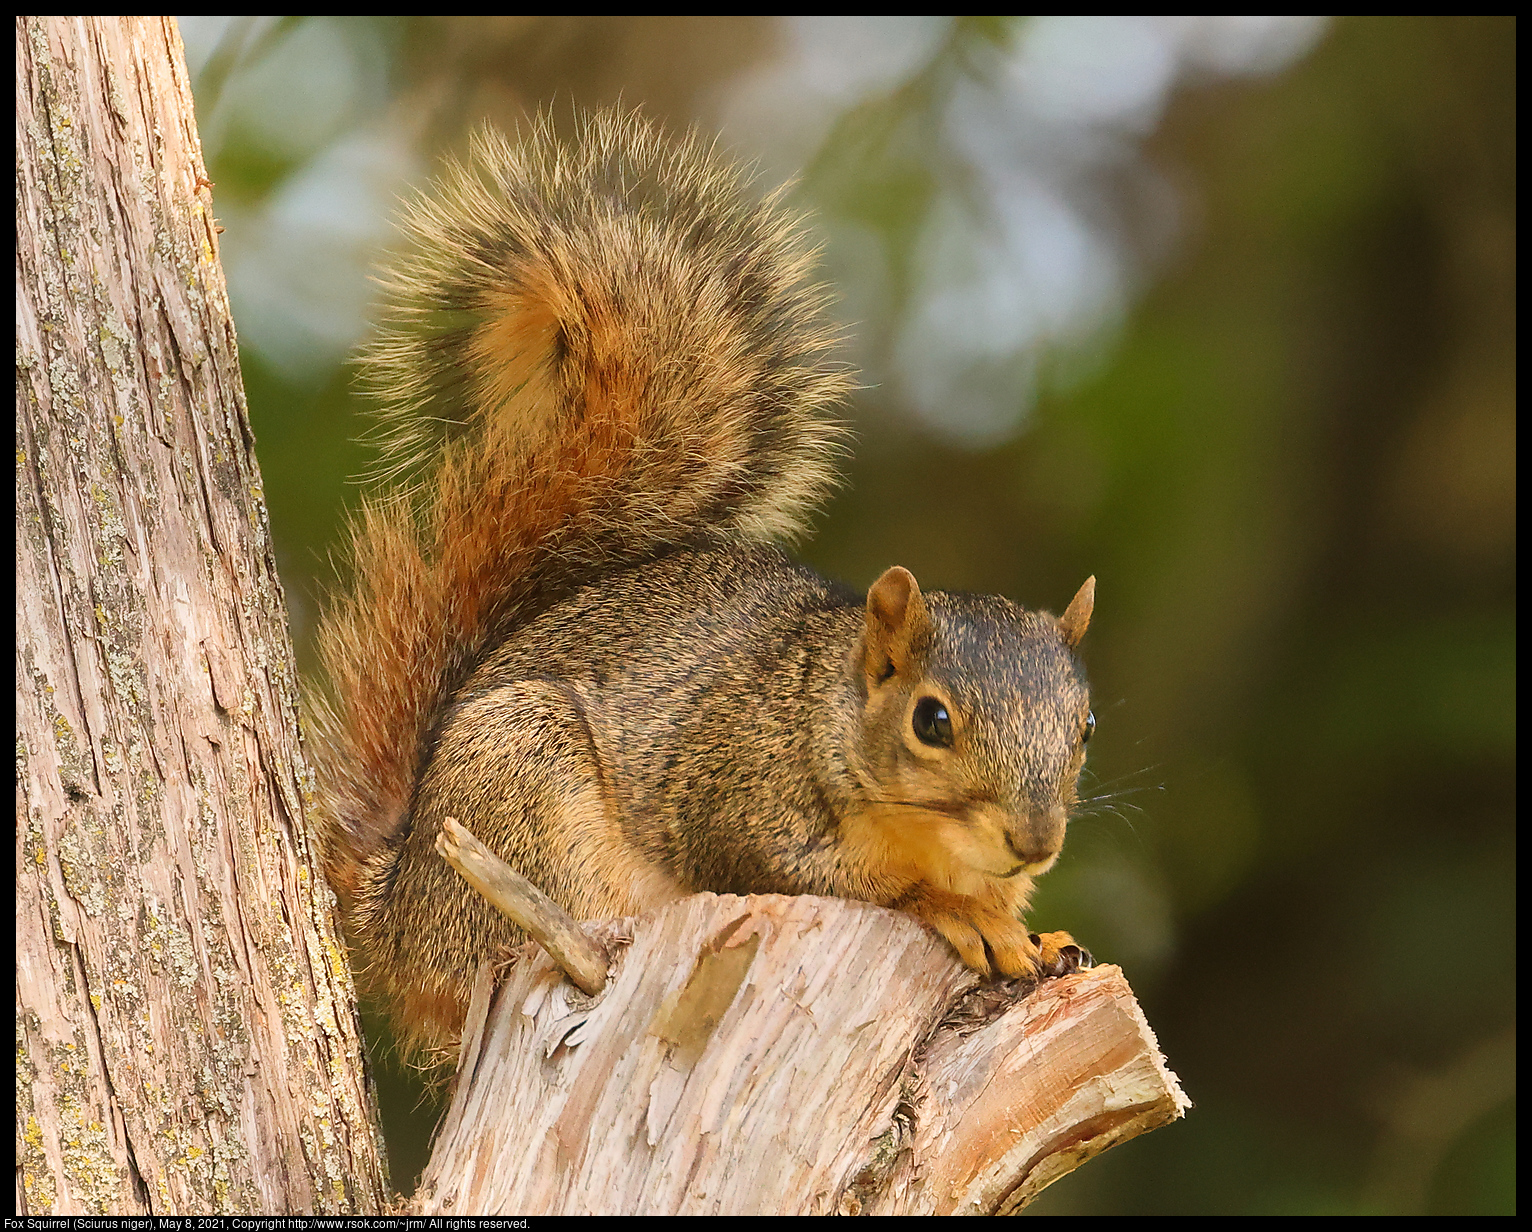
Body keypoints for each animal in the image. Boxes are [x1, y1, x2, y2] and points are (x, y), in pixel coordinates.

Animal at [310, 110, 1096, 1066]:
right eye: (931, 721)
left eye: (1086, 727)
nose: (1035, 841)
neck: (818, 712)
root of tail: (392, 916)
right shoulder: (730, 802)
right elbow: (827, 879)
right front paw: (952, 910)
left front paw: (1033, 932)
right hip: (519, 785)